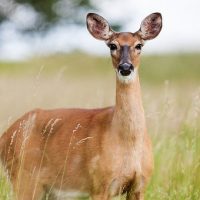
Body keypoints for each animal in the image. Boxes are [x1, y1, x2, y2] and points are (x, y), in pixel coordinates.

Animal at [0, 12, 162, 200]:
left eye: (139, 45)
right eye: (112, 45)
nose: (125, 67)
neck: (128, 141)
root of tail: (5, 136)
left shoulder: (140, 185)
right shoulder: (99, 185)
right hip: (24, 180)